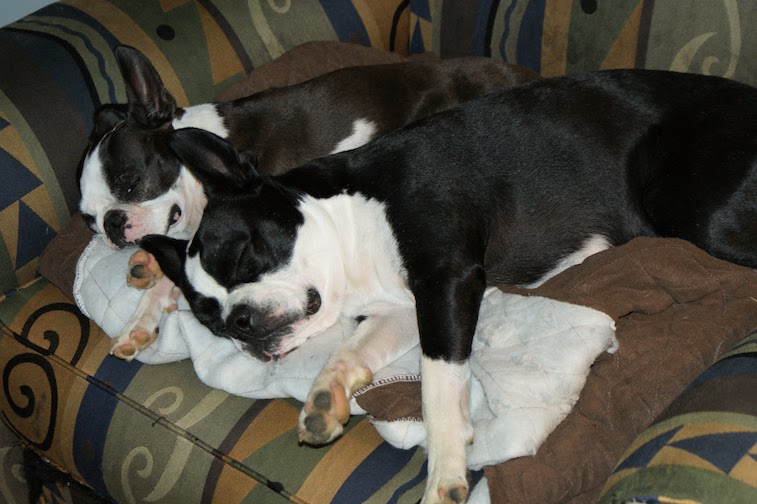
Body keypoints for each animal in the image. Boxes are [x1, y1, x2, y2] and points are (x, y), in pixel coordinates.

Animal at [139, 69, 752, 502]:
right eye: (211, 322)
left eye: (243, 256)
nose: (241, 324)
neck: (355, 217)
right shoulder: (403, 306)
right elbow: (351, 350)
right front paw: (326, 398)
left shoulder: (447, 281)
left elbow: (437, 383)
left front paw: (445, 475)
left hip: (688, 209)